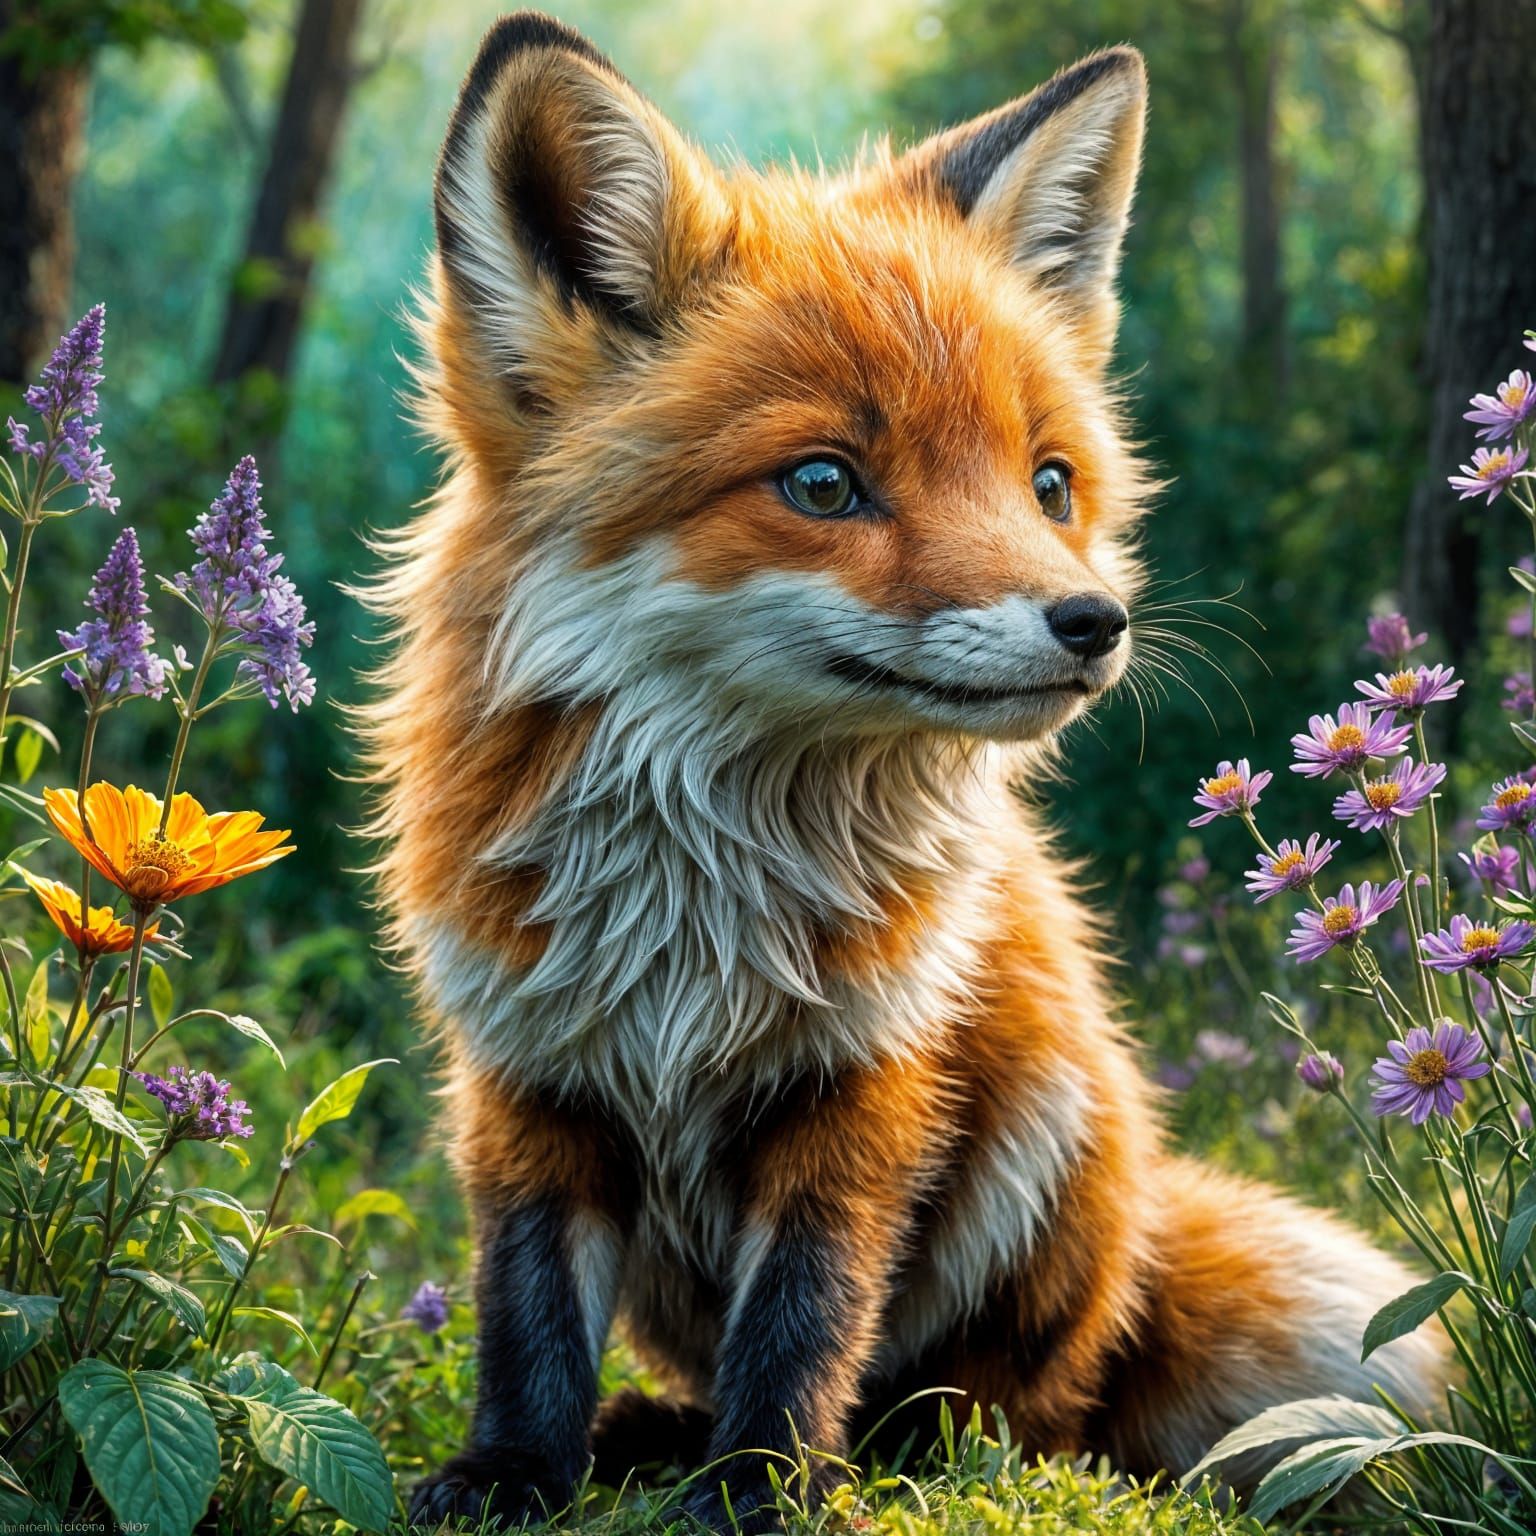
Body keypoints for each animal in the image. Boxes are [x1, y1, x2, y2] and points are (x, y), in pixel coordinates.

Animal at [365, 12, 1448, 1529]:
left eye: (1050, 484)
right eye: (824, 485)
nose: (1093, 623)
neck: (699, 897)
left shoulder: (867, 1071)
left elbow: (806, 1317)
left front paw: (760, 1490)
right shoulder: (526, 1065)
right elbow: (525, 1315)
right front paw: (518, 1470)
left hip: (1050, 1125)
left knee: (1018, 1413)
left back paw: (885, 1450)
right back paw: (652, 1432)